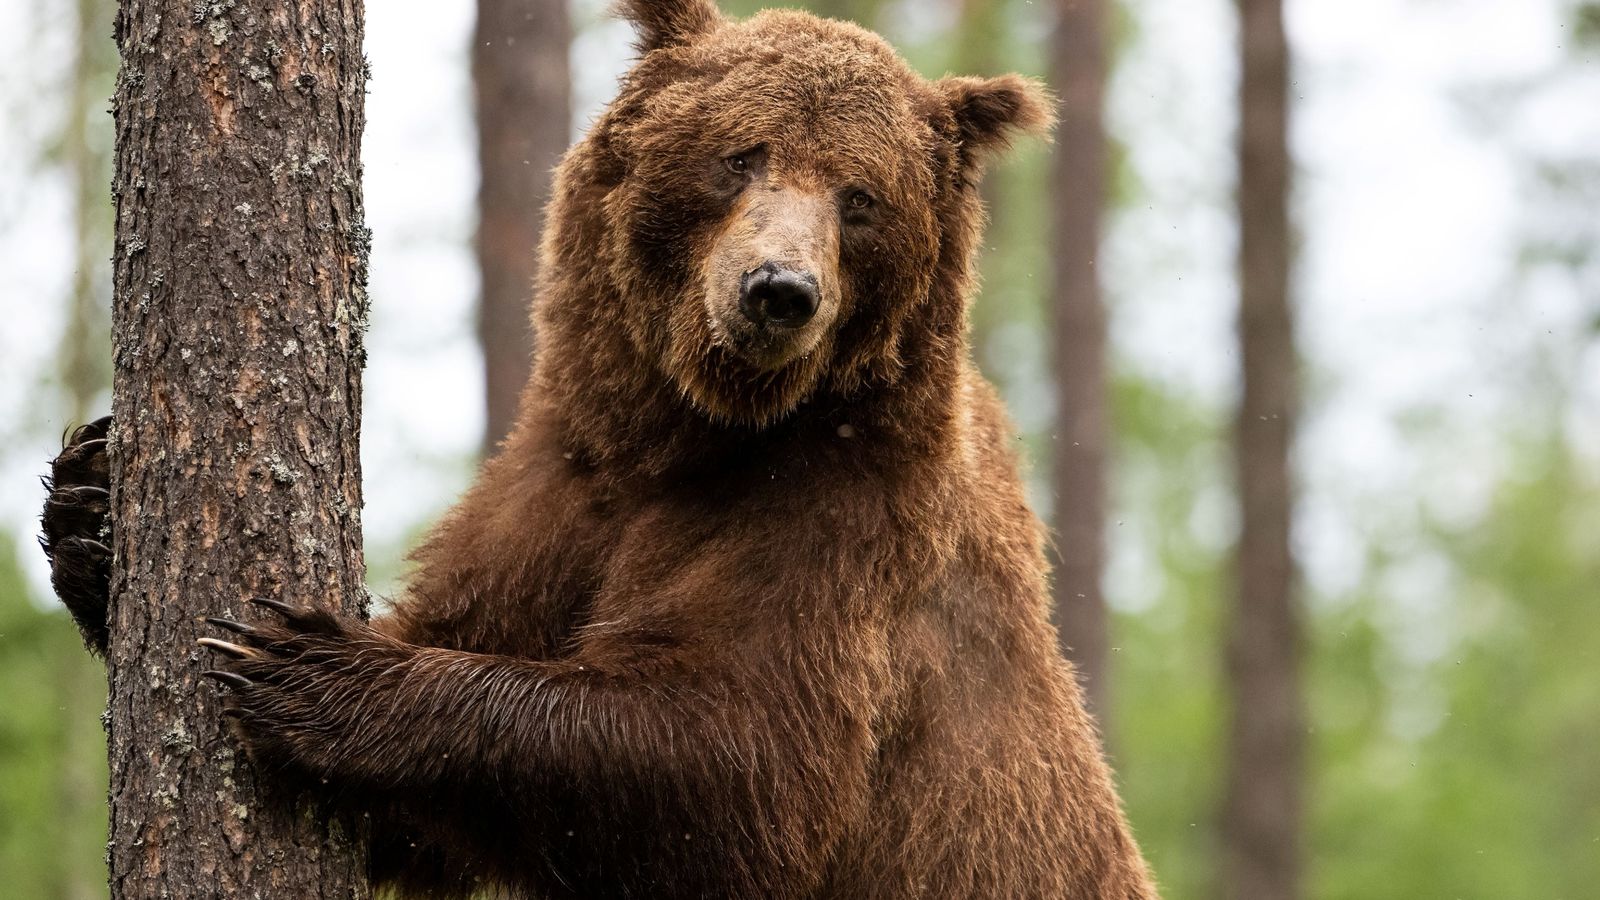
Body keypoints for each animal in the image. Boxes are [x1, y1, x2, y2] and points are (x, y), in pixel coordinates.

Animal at [40, 1, 1158, 897]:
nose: (778, 291)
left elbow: (739, 759)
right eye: (739, 156)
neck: (690, 433)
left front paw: (308, 665)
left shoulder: (839, 523)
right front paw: (93, 508)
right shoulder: (562, 491)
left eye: (860, 197)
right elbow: (415, 814)